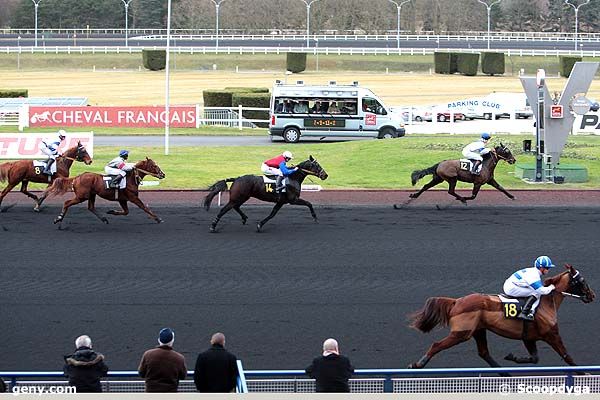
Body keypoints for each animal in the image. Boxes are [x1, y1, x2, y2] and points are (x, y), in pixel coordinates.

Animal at [408, 264, 596, 370]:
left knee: (484, 352)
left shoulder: (529, 337)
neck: (546, 303)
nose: (592, 296)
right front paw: (583, 372)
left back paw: (504, 372)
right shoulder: (551, 334)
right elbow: (567, 356)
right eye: (582, 281)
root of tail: (456, 301)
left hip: (479, 330)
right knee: (437, 345)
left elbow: (534, 358)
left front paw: (512, 357)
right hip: (462, 333)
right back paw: (417, 364)